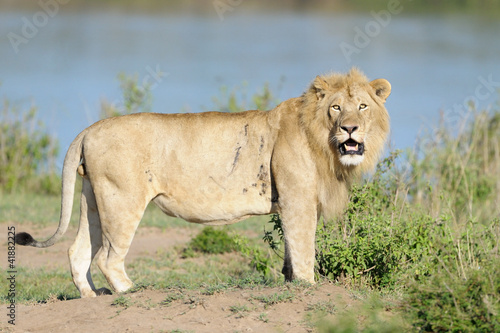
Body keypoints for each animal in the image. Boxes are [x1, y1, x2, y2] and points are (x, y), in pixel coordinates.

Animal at [15, 68, 390, 296]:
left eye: (362, 106)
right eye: (336, 108)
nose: (351, 129)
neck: (324, 144)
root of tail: (89, 128)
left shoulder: (291, 202)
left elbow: (289, 252)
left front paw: (288, 281)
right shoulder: (297, 200)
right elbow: (303, 249)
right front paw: (307, 287)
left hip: (93, 197)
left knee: (77, 250)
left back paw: (91, 296)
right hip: (122, 200)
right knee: (108, 258)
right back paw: (130, 291)